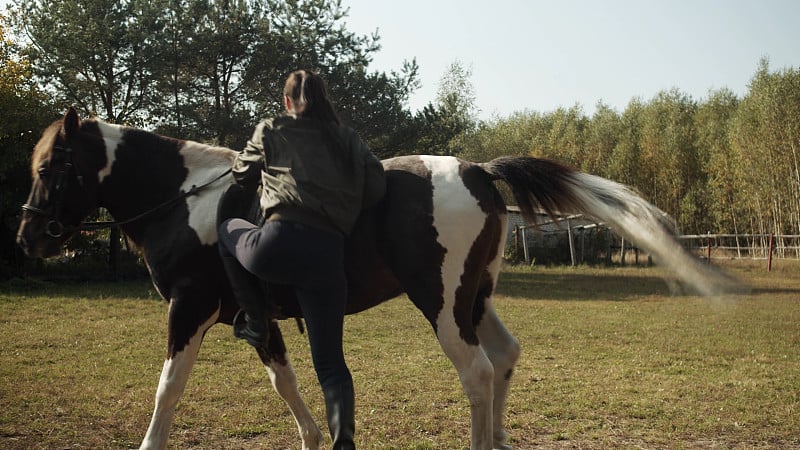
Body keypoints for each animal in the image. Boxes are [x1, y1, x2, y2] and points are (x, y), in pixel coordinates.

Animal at [15, 110, 740, 450]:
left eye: (52, 166)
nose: (28, 238)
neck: (190, 201)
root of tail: (478, 171)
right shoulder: (262, 321)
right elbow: (284, 381)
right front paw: (310, 438)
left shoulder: (188, 311)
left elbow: (168, 389)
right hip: (475, 300)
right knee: (505, 358)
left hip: (442, 305)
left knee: (478, 372)